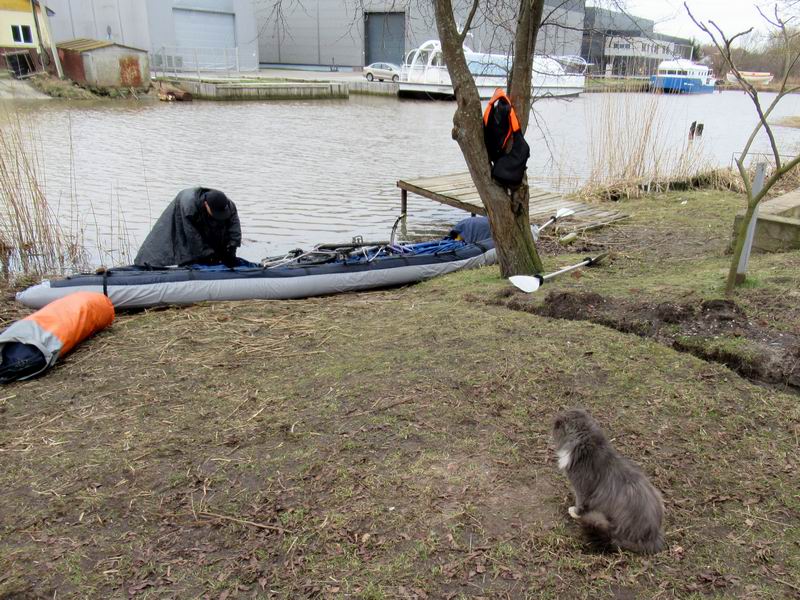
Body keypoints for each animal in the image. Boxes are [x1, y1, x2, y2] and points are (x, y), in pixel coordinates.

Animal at [552, 408, 664, 552]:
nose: (554, 421)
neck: (586, 447)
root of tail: (653, 536)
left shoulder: (581, 487)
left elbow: (579, 503)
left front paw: (574, 512)